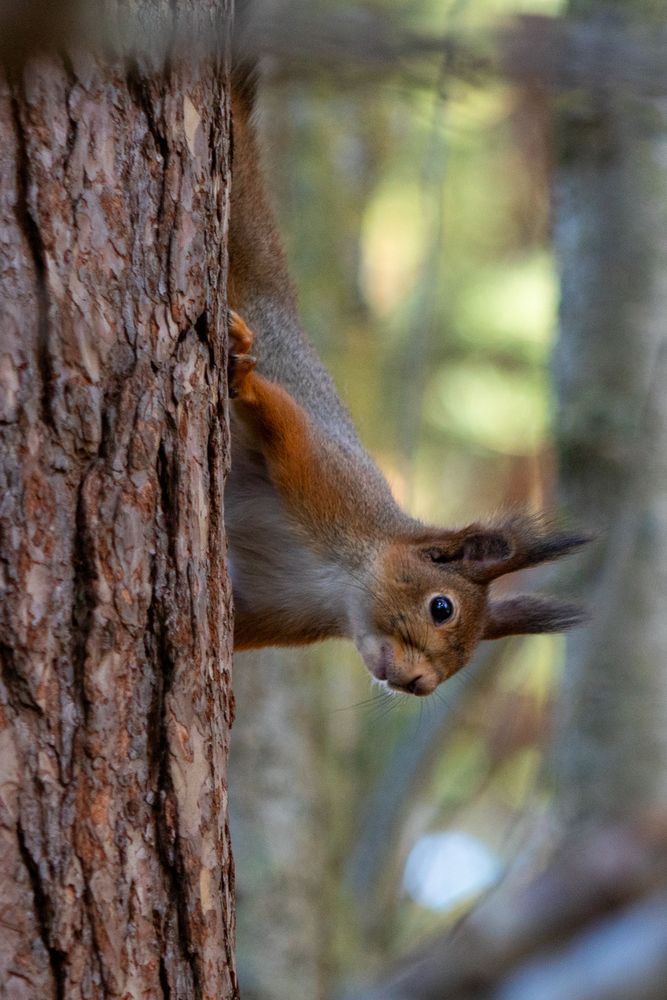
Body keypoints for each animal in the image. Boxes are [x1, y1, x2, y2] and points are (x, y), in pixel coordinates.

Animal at [225, 70, 587, 697]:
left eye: (464, 661)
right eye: (441, 607)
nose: (421, 683)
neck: (333, 584)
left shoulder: (274, 613)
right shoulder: (329, 482)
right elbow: (281, 419)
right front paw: (245, 380)